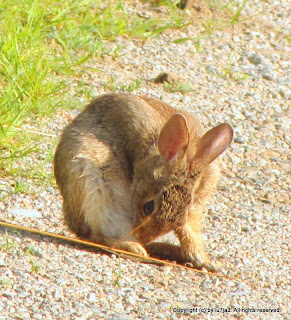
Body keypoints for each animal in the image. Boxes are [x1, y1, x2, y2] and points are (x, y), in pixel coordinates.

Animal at [54, 94, 233, 272]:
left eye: (182, 215)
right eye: (148, 207)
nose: (143, 236)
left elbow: (189, 232)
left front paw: (207, 262)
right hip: (92, 186)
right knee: (95, 235)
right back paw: (134, 247)